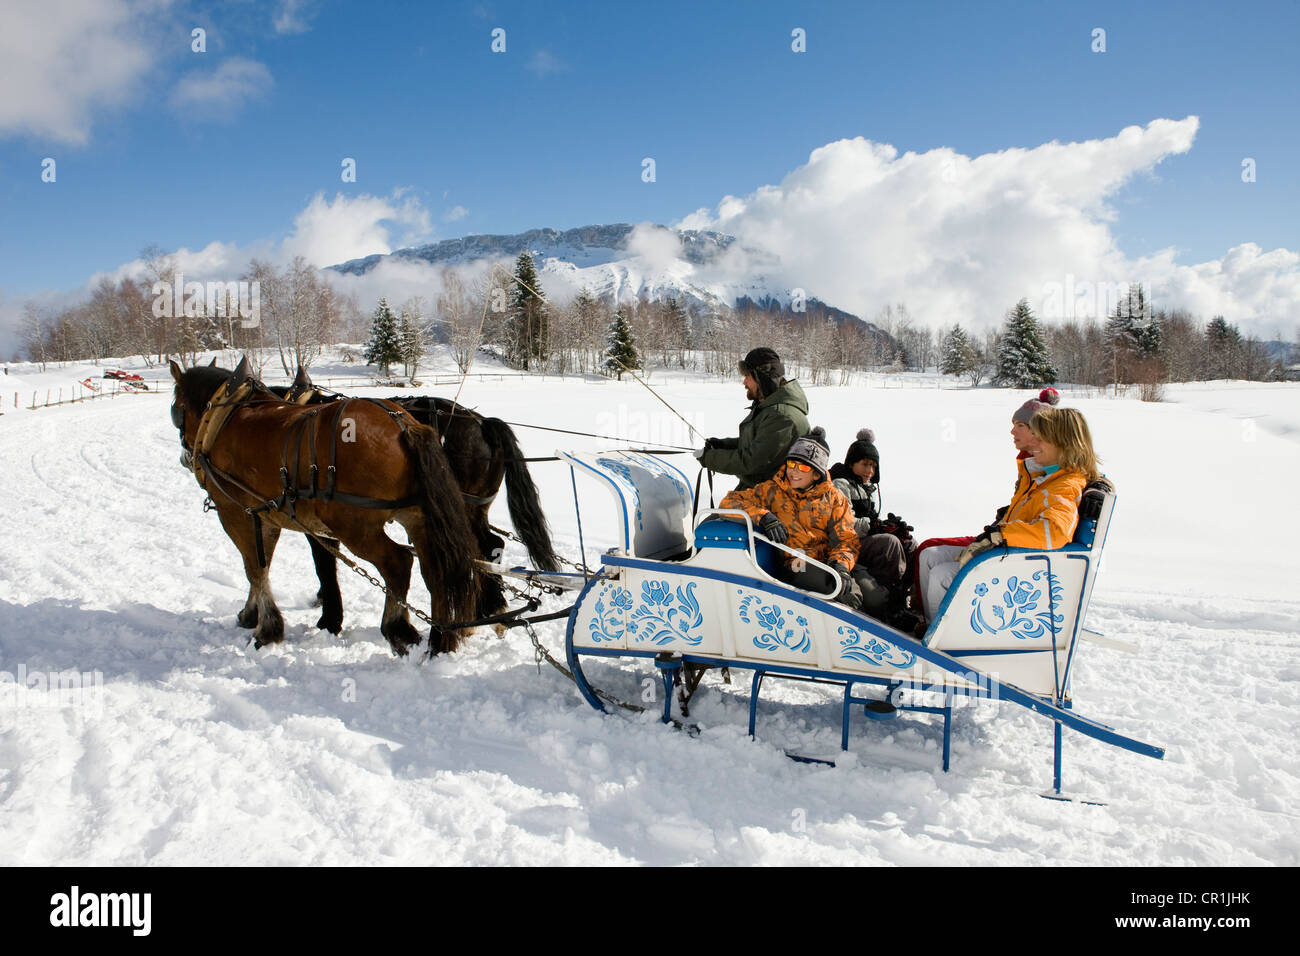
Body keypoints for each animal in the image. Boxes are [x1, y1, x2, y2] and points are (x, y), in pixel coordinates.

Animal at [167, 358, 483, 658]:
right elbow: (264, 564)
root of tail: (404, 425)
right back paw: (440, 640)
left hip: (354, 526)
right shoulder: (264, 515)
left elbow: (255, 568)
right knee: (436, 569)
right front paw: (253, 614)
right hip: (416, 517)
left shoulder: (233, 513)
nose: (185, 457)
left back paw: (398, 629)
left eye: (176, 408)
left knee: (398, 563)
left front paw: (267, 629)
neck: (225, 419)